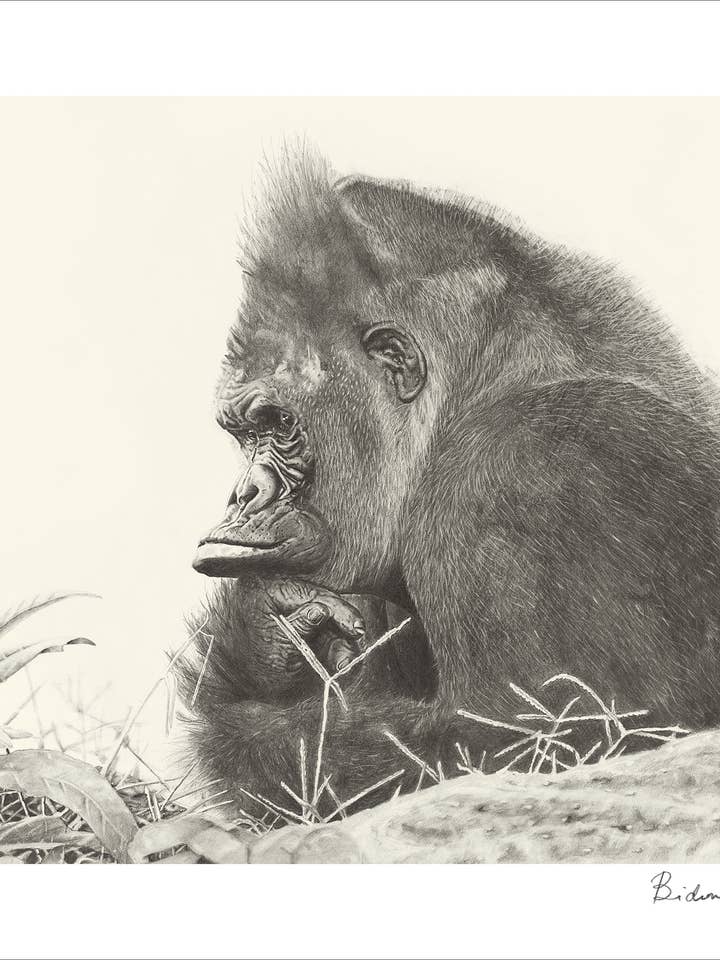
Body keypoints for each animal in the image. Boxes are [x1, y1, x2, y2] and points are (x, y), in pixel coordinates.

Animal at [175, 149, 720, 816]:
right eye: (241, 433)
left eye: (277, 425)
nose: (242, 496)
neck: (486, 378)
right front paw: (266, 638)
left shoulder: (515, 468)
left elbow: (548, 741)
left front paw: (236, 665)